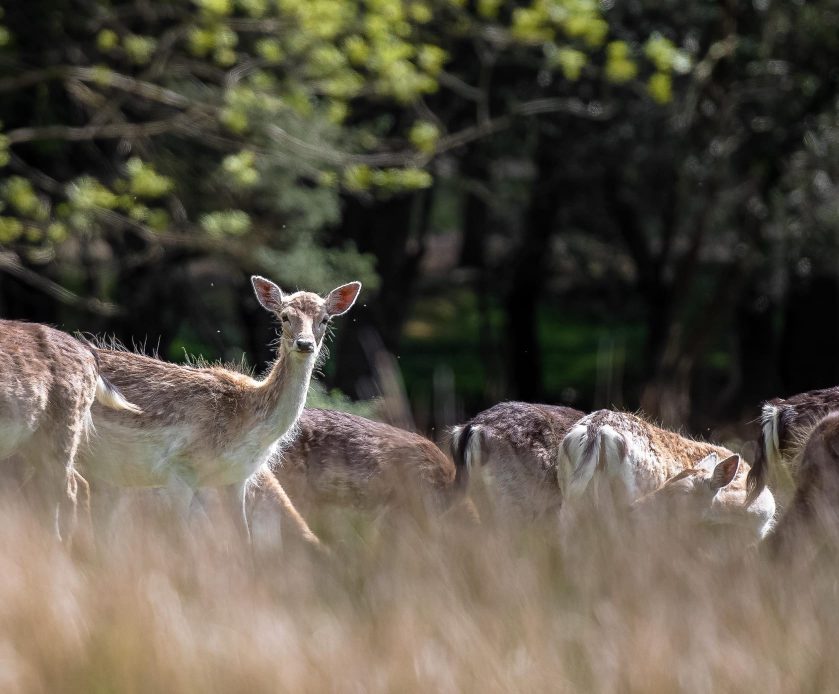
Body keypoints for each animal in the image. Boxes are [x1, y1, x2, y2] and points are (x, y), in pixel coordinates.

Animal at [79, 274, 364, 548]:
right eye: (285, 316)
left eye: (324, 319)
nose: (304, 344)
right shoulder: (178, 469)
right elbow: (181, 544)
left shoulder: (236, 480)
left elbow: (244, 541)